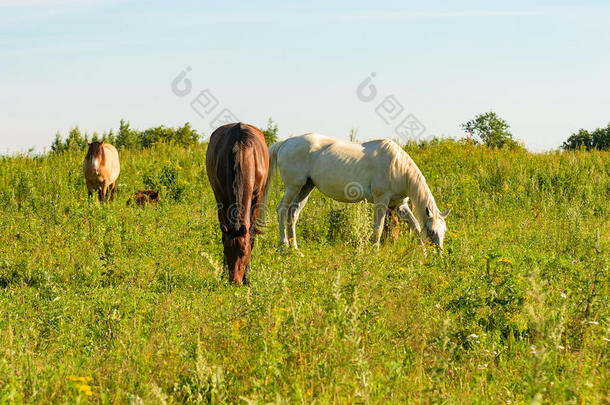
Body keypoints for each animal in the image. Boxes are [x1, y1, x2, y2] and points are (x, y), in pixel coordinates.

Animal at [207, 122, 268, 284]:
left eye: (244, 252)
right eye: (226, 251)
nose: (234, 281)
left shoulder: (257, 197)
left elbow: (251, 235)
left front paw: (247, 278)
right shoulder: (221, 197)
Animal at [266, 134, 446, 251]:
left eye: (443, 231)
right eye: (432, 231)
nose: (438, 253)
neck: (397, 166)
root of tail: (286, 142)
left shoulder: (399, 205)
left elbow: (415, 226)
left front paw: (422, 253)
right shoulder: (381, 201)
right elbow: (378, 228)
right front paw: (374, 252)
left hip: (306, 188)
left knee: (293, 213)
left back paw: (295, 249)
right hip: (293, 187)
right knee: (282, 210)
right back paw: (283, 245)